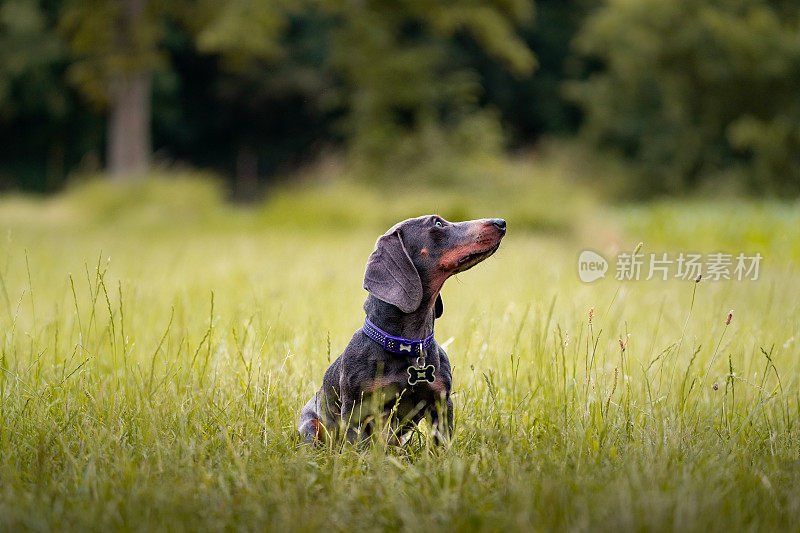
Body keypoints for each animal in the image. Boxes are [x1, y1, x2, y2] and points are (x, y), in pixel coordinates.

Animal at [296, 214, 504, 442]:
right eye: (437, 223)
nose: (501, 222)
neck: (407, 346)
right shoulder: (356, 411)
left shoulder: (441, 404)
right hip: (311, 427)